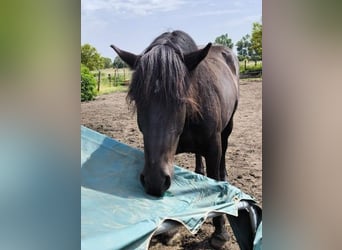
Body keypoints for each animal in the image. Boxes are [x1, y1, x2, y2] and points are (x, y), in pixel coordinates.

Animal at [111, 30, 239, 248]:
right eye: (138, 100)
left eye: (180, 100)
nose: (153, 182)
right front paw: (171, 232)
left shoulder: (213, 148)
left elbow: (216, 182)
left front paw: (220, 232)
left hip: (228, 127)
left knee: (224, 153)